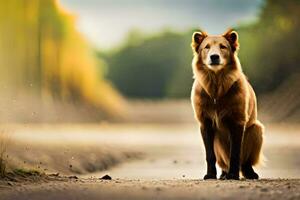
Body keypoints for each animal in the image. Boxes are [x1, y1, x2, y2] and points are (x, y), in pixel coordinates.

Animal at [191, 29, 264, 180]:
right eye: (206, 47)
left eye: (223, 47)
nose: (214, 57)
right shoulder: (205, 123)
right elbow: (210, 155)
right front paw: (210, 174)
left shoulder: (237, 122)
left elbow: (235, 153)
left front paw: (233, 175)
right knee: (222, 162)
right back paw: (223, 173)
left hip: (256, 129)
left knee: (245, 161)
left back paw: (249, 173)